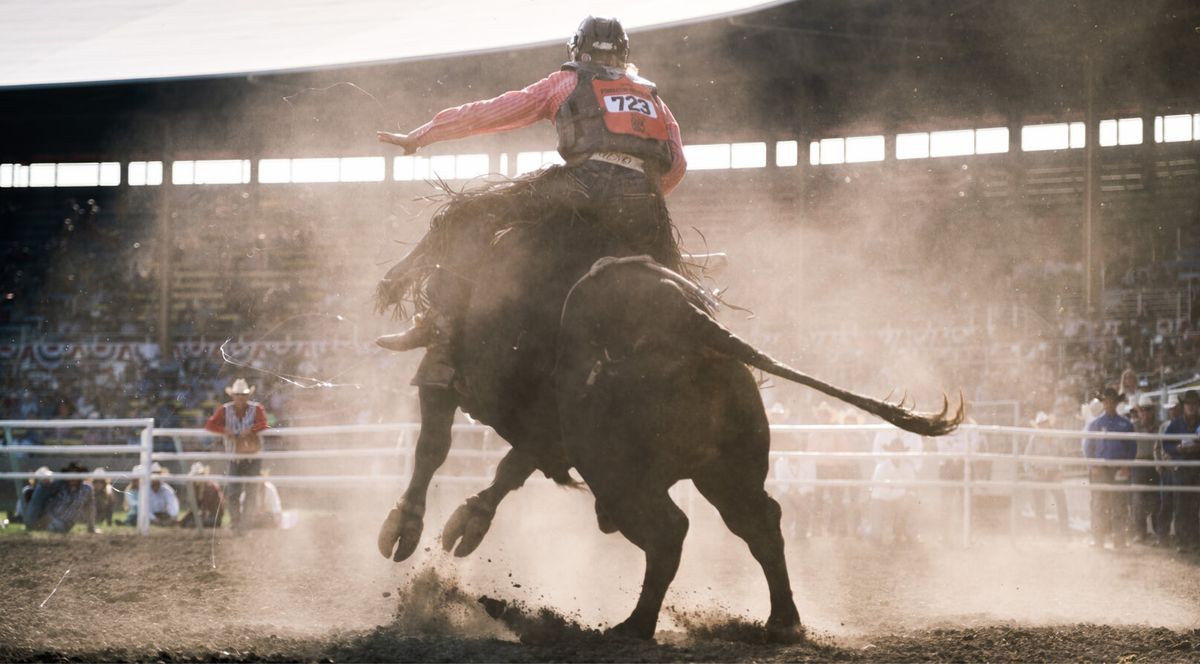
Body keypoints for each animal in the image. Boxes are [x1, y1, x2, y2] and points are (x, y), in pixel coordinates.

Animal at [374, 175, 964, 638]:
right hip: (727, 469)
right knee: (759, 521)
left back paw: (633, 626)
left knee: (668, 532)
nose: (403, 285)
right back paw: (781, 621)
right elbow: (508, 467)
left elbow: (435, 445)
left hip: (618, 472)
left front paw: (406, 528)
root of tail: (695, 323)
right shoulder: (547, 428)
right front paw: (466, 523)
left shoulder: (463, 385)